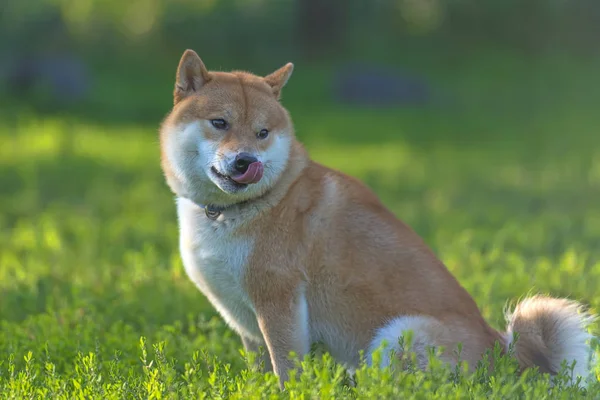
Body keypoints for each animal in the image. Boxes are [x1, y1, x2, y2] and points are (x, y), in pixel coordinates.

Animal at [159, 49, 596, 388]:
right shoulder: (246, 318)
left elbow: (286, 370)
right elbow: (260, 370)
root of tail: (504, 358)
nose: (246, 161)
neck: (242, 208)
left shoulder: (279, 304)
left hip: (396, 335)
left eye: (263, 133)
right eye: (220, 123)